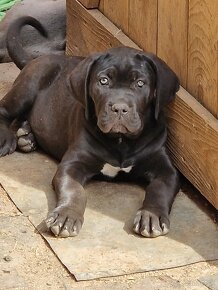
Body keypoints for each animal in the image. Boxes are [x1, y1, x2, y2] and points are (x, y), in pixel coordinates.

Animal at [0, 31, 179, 238]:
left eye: (140, 83)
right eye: (104, 81)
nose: (119, 108)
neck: (121, 142)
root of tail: (37, 58)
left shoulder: (166, 169)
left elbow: (159, 189)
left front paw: (151, 216)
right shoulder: (72, 164)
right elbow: (74, 190)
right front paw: (66, 216)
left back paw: (26, 136)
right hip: (29, 85)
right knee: (4, 109)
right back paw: (8, 138)